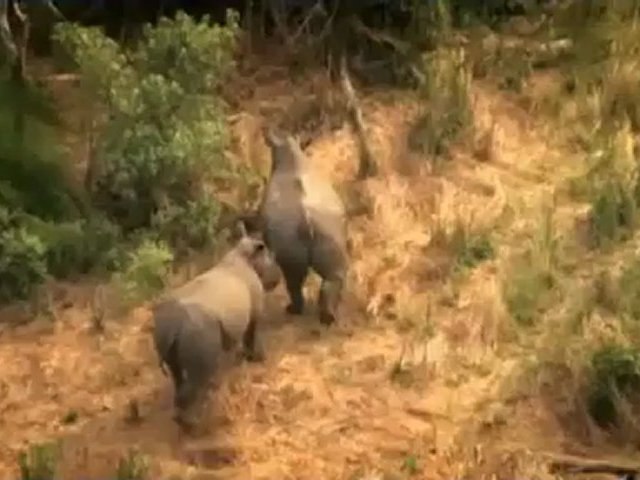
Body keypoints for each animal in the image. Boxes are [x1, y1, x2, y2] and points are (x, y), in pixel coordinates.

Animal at [151, 224, 281, 428]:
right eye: (270, 262)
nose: (276, 280)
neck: (245, 254)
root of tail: (173, 326)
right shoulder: (255, 309)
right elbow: (252, 332)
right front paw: (257, 359)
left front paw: (241, 358)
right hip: (197, 331)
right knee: (198, 375)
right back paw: (195, 423)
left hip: (164, 329)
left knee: (176, 372)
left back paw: (183, 418)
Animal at [256, 128, 348, 325]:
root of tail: (307, 219)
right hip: (329, 226)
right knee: (334, 272)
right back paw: (328, 317)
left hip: (288, 234)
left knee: (293, 279)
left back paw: (293, 310)